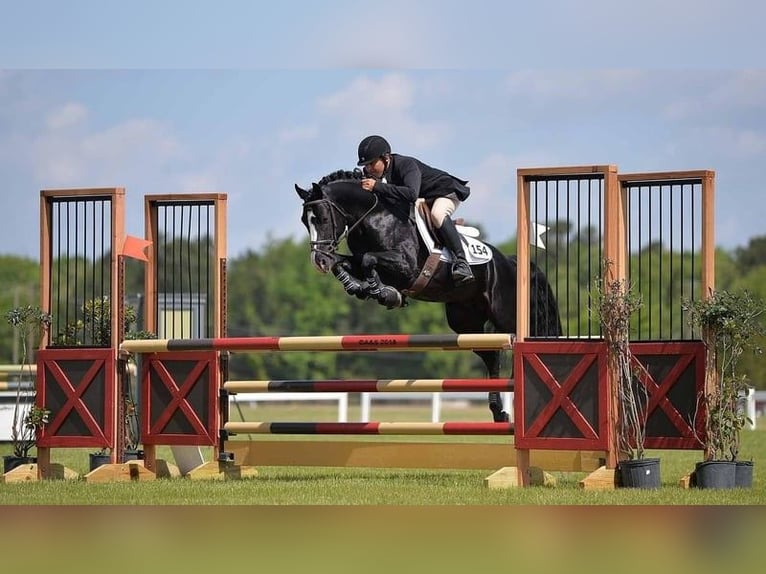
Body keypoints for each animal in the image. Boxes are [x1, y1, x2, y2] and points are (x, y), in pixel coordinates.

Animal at [296, 171, 564, 424]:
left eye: (322, 217)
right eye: (304, 221)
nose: (318, 261)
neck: (373, 218)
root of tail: (510, 261)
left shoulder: (406, 267)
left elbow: (369, 259)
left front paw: (386, 293)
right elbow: (345, 263)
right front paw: (360, 287)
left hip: (506, 315)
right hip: (465, 322)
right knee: (491, 356)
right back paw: (499, 413)